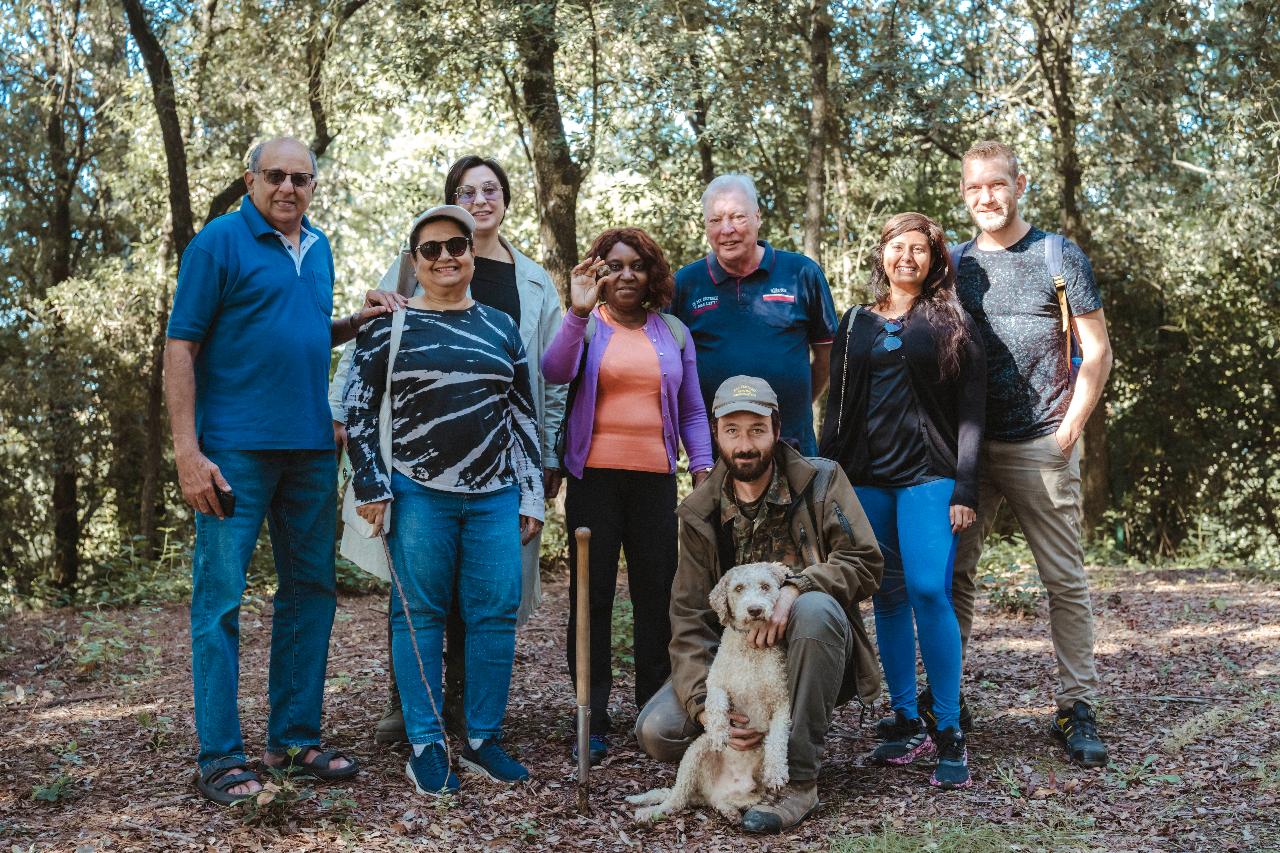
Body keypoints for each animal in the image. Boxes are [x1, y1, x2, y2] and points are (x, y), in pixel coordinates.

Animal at [627, 560, 793, 819]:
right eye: (738, 588)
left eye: (765, 586)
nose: (755, 610)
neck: (749, 649)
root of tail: (706, 792)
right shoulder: (715, 681)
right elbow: (715, 702)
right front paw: (719, 733)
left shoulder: (781, 700)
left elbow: (777, 739)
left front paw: (776, 772)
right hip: (693, 754)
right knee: (675, 801)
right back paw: (650, 813)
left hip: (751, 792)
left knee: (720, 801)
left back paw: (730, 811)